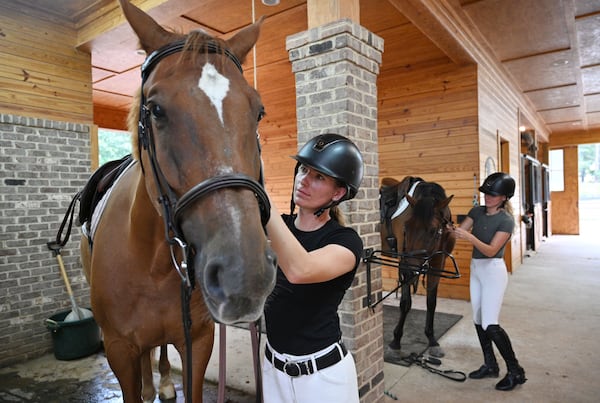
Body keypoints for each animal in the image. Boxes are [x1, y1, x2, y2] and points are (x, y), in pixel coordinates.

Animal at [78, 1, 276, 402]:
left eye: (258, 111)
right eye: (155, 109)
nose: (244, 275)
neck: (151, 262)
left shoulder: (198, 341)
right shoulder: (118, 349)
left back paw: (165, 382)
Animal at [380, 177, 454, 356]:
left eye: (433, 230)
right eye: (406, 228)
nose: (413, 266)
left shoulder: (437, 262)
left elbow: (431, 302)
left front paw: (432, 340)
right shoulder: (404, 263)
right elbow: (406, 303)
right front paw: (396, 342)